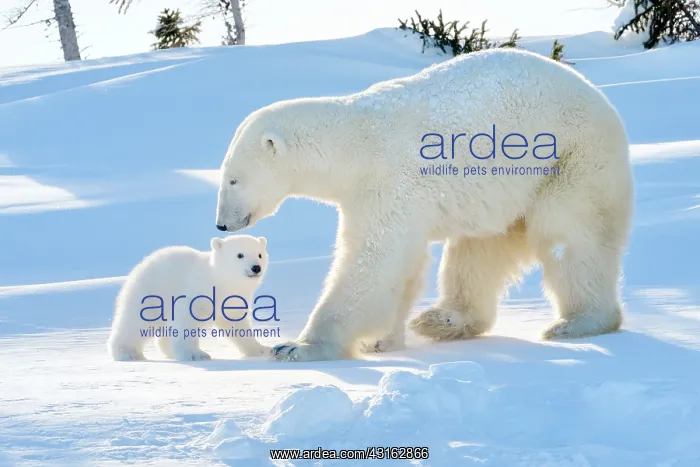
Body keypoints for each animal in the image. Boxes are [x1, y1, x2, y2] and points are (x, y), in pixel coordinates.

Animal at [107, 235, 270, 361]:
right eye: (239, 255)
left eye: (260, 254)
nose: (256, 267)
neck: (218, 281)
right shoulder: (197, 291)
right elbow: (186, 320)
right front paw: (195, 354)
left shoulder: (233, 300)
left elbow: (237, 324)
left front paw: (261, 349)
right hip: (151, 292)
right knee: (136, 322)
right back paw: (127, 353)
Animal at [214, 47, 634, 362]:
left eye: (233, 178)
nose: (221, 224)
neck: (357, 144)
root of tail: (603, 101)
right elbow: (403, 267)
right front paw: (382, 341)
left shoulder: (389, 182)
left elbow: (373, 262)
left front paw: (298, 346)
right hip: (507, 191)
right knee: (479, 250)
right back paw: (442, 319)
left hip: (569, 160)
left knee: (570, 236)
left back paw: (577, 323)